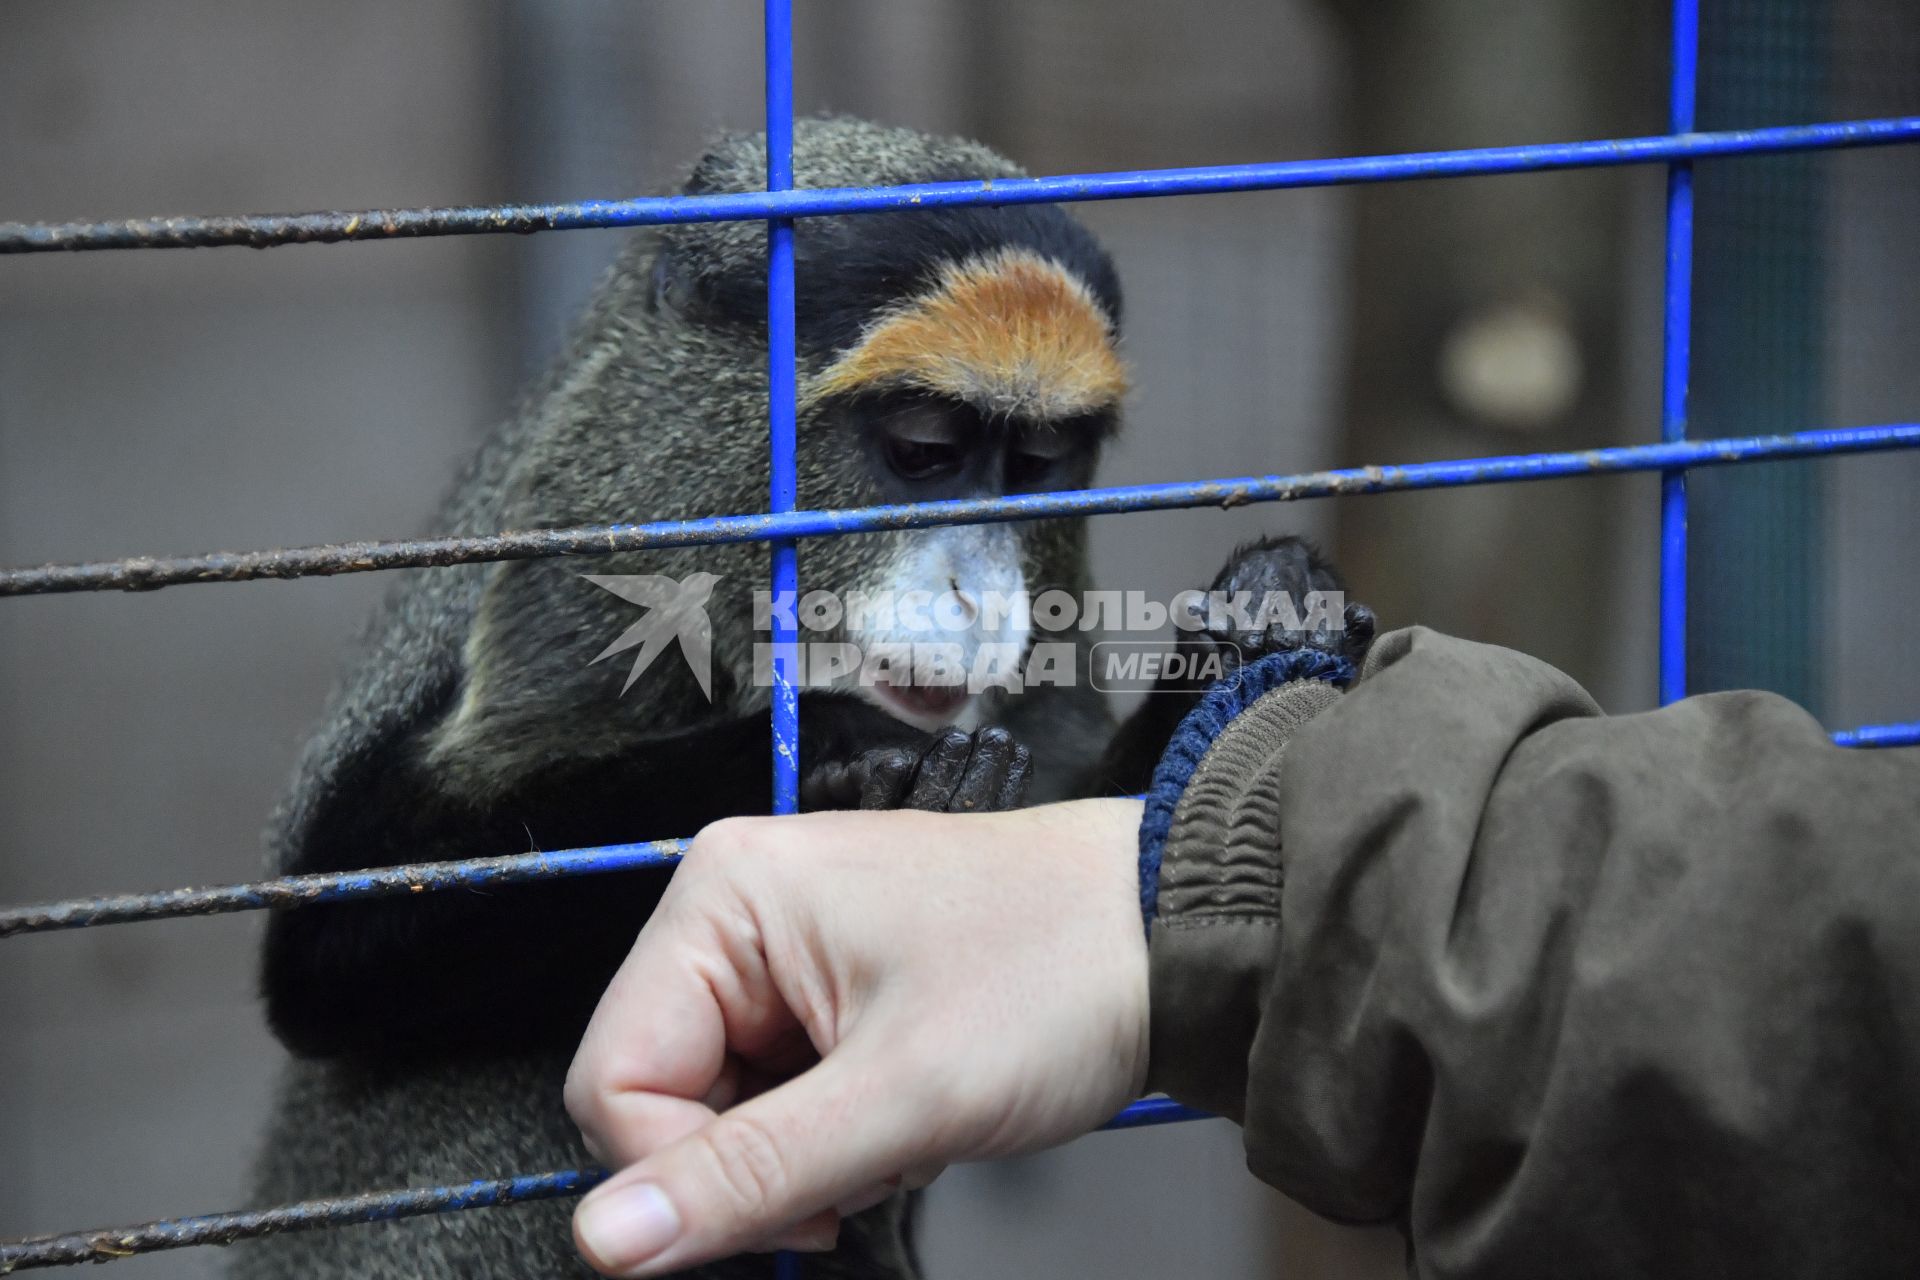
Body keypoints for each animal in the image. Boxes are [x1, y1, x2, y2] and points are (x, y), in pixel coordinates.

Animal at [228, 115, 1367, 1274]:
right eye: (922, 451)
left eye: (1040, 461)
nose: (980, 595)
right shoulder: (563, 601)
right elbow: (340, 935)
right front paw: (845, 757)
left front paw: (1263, 625)